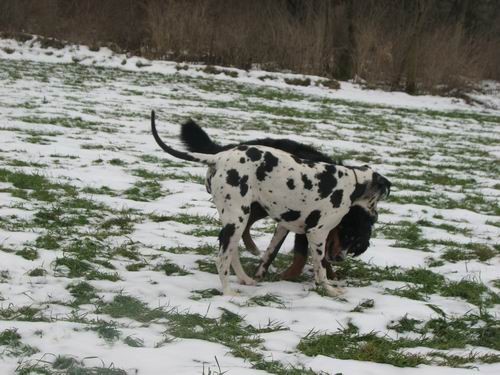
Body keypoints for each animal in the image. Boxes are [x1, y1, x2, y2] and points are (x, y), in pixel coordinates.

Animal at [150, 111, 392, 296]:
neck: (352, 183)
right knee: (222, 259)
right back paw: (228, 292)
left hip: (238, 219)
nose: (376, 216)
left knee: (232, 253)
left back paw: (245, 279)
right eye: (350, 236)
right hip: (238, 219)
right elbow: (320, 266)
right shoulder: (317, 233)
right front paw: (330, 289)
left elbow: (271, 255)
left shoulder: (286, 226)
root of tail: (218, 157)